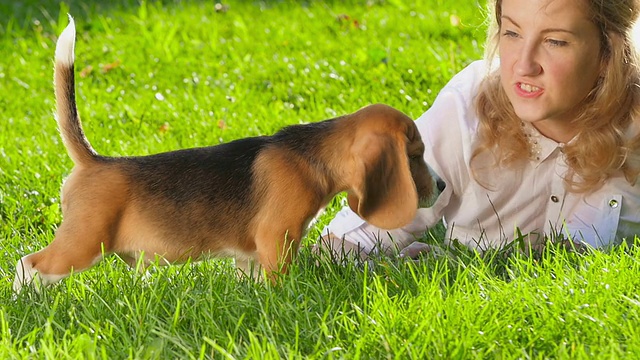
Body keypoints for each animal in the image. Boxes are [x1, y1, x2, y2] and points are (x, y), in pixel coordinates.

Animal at [12, 17, 432, 292]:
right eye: (415, 155)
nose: (442, 187)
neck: (311, 154)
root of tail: (95, 161)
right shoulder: (277, 239)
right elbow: (280, 280)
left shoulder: (250, 255)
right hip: (82, 244)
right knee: (29, 265)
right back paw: (25, 301)